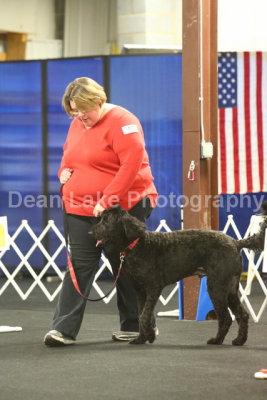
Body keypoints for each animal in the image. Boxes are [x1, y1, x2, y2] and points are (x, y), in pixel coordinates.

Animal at [92, 202, 267, 346]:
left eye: (106, 221)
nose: (90, 232)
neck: (138, 245)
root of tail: (236, 243)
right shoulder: (140, 290)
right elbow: (142, 313)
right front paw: (144, 337)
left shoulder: (153, 288)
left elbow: (144, 315)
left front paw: (145, 337)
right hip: (230, 288)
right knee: (242, 315)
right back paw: (239, 340)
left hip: (217, 286)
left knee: (226, 317)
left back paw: (216, 340)